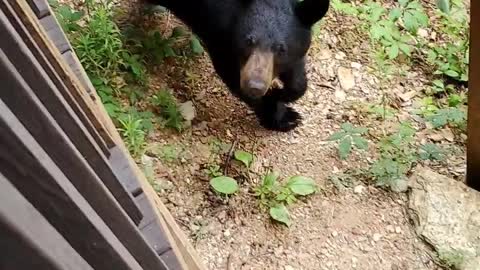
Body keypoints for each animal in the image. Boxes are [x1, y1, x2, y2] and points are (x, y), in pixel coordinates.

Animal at [144, 0, 330, 131]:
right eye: (249, 41)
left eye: (281, 49)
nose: (255, 86)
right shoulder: (219, 35)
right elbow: (231, 75)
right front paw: (282, 117)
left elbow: (297, 75)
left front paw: (281, 94)